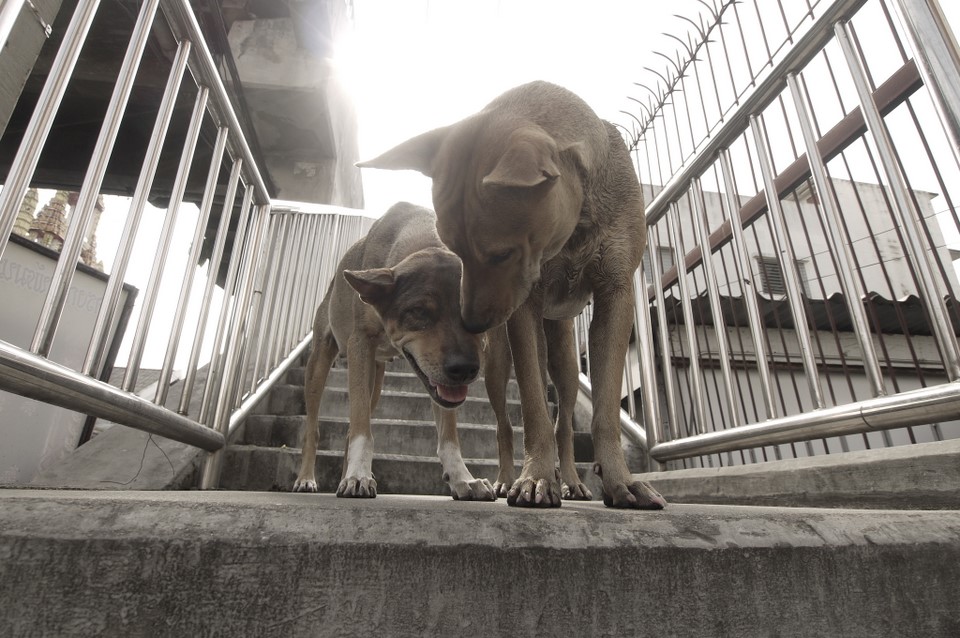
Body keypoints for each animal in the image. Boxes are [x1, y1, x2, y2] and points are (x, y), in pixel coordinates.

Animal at [292, 202, 496, 502]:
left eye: (472, 313)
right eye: (418, 312)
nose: (465, 369)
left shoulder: (440, 383)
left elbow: (448, 430)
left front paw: (463, 479)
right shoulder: (360, 343)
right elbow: (361, 427)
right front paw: (359, 475)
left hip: (375, 381)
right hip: (320, 361)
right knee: (314, 429)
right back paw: (307, 478)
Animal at [360, 81, 668, 510]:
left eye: (501, 254)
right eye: (453, 249)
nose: (471, 323)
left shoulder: (616, 295)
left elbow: (604, 409)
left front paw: (620, 480)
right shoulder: (523, 311)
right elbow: (533, 409)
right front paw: (534, 478)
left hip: (564, 360)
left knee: (565, 422)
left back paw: (571, 480)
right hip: (496, 367)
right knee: (507, 424)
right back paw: (508, 479)